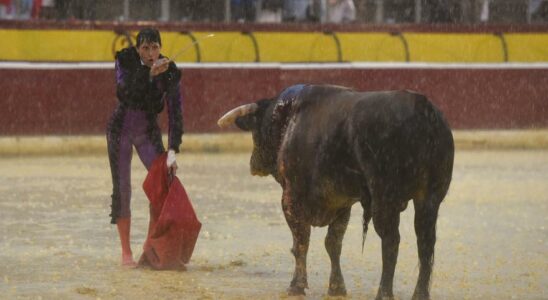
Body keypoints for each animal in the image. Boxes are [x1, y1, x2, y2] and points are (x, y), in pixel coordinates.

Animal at [218, 84, 454, 300]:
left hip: (384, 199)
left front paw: (296, 286)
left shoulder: (291, 198)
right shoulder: (341, 203)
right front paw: (337, 288)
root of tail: (421, 108)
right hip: (429, 198)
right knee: (425, 243)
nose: (253, 165)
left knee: (390, 241)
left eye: (256, 129)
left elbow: (301, 243)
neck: (287, 119)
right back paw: (420, 294)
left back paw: (384, 293)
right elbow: (333, 243)